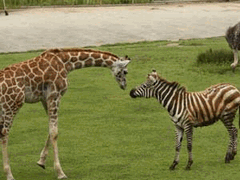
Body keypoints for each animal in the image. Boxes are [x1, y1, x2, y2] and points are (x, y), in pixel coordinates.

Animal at [0, 47, 130, 179]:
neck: (66, 63)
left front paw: (41, 161)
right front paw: (60, 172)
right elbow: (54, 132)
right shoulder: (55, 95)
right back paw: (9, 174)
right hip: (12, 104)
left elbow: (51, 129)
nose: (124, 85)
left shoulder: (45, 98)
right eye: (125, 72)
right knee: (4, 133)